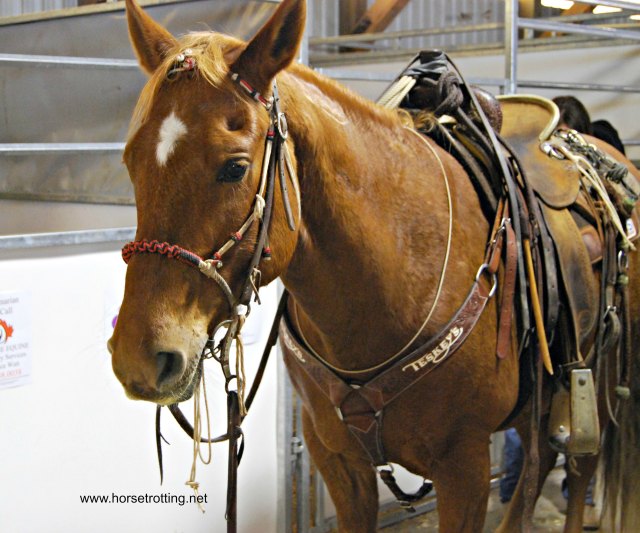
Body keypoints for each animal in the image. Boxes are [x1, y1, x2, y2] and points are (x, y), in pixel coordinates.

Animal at [108, 0, 640, 531]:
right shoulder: (336, 458)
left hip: (595, 378)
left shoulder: (464, 468)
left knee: (580, 462)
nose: (139, 357)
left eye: (235, 167)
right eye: (130, 163)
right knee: (539, 463)